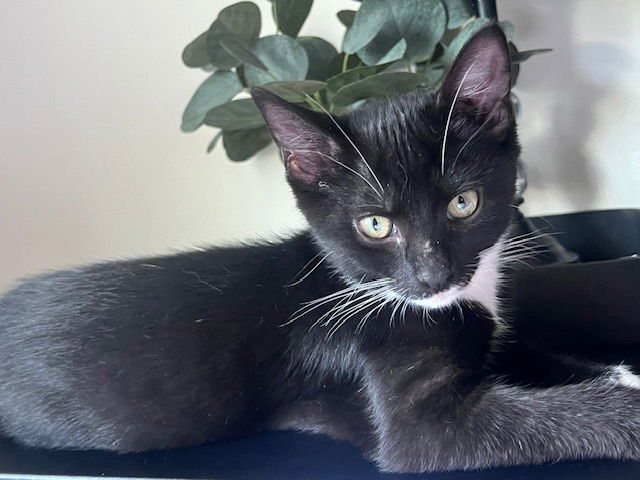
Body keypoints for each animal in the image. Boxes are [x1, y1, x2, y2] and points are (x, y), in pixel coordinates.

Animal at [1, 26, 640, 472]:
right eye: (376, 225)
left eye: (464, 203)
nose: (432, 276)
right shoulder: (417, 423)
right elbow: (522, 421)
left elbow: (536, 355)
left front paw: (620, 375)